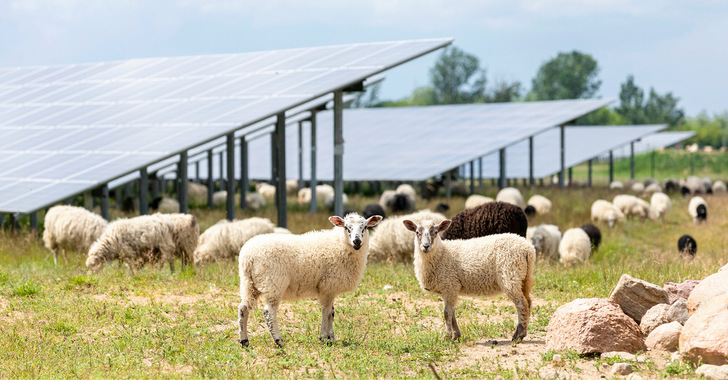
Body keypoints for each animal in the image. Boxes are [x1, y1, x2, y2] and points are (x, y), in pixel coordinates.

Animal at [237, 214, 386, 348]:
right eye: (346, 228)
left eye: (364, 227)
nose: (357, 241)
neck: (340, 244)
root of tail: (247, 257)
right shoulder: (327, 286)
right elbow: (327, 313)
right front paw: (326, 338)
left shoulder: (329, 289)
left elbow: (331, 313)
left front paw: (330, 338)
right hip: (273, 283)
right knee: (269, 312)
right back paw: (278, 341)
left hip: (249, 284)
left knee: (243, 308)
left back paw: (244, 341)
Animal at [400, 218, 532, 342]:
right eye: (417, 232)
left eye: (435, 232)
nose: (426, 246)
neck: (441, 254)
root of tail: (528, 248)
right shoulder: (448, 289)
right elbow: (452, 313)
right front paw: (456, 336)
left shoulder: (449, 284)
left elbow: (446, 313)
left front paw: (448, 336)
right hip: (524, 279)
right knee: (528, 302)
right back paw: (522, 332)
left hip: (510, 276)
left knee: (522, 304)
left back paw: (518, 335)